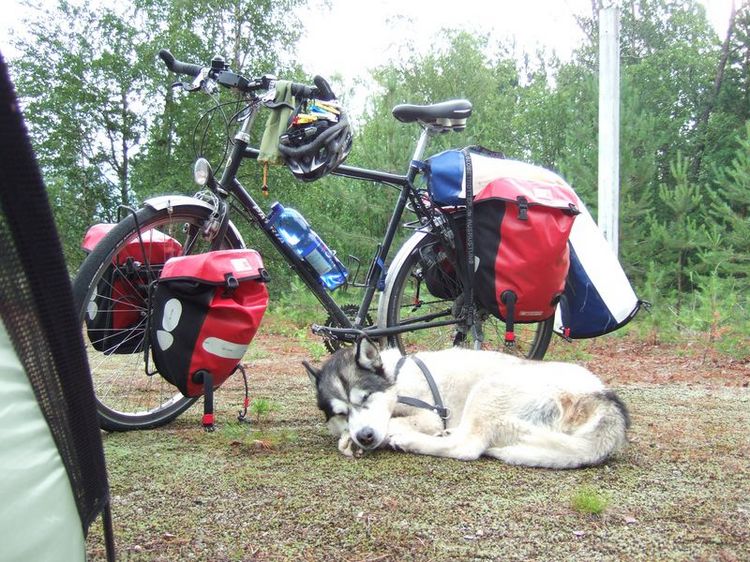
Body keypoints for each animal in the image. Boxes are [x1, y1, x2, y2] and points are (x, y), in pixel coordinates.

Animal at [302, 334, 632, 466]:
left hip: (489, 389)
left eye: (367, 397)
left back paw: (409, 440)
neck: (397, 376)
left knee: (468, 447)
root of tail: (603, 396)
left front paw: (381, 434)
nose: (366, 436)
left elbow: (400, 421)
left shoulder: (430, 414)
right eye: (341, 413)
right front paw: (349, 438)